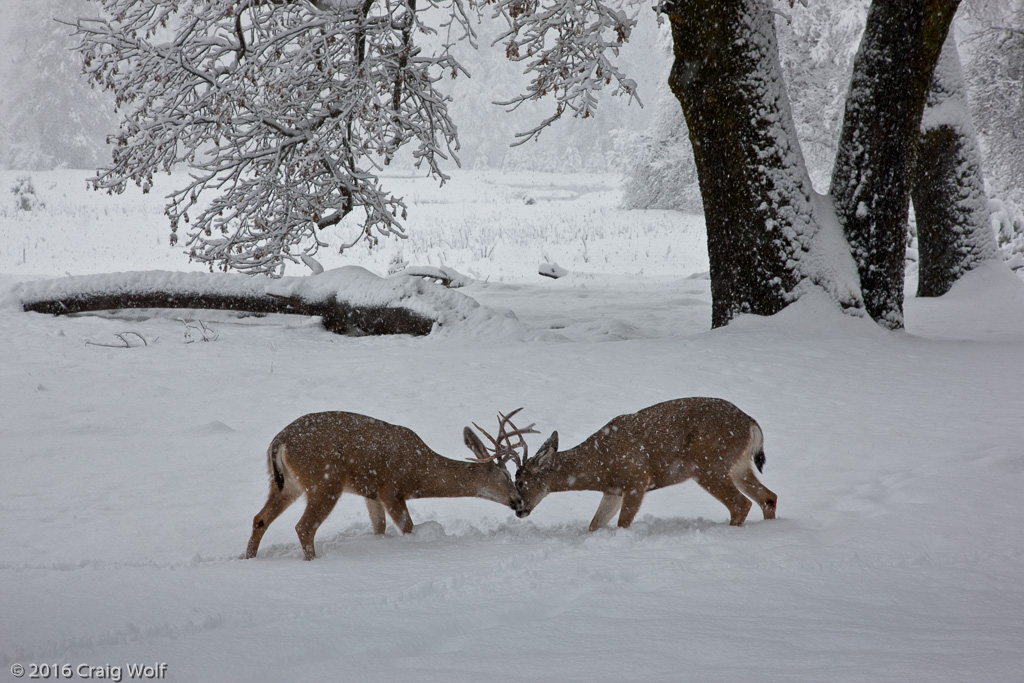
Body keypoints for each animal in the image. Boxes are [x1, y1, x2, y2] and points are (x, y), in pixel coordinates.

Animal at [239, 411, 528, 561]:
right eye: (506, 475)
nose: (521, 503)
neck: (421, 473)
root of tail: (279, 443)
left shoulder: (371, 492)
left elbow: (379, 526)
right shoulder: (391, 488)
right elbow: (407, 527)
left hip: (286, 484)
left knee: (260, 518)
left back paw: (248, 558)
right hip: (325, 480)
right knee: (304, 526)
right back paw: (314, 561)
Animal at [512, 397, 774, 532]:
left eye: (521, 481)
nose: (518, 510)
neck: (600, 465)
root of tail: (751, 423)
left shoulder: (636, 479)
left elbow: (622, 524)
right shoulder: (613, 491)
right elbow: (594, 524)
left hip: (709, 465)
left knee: (741, 504)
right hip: (738, 465)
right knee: (768, 497)